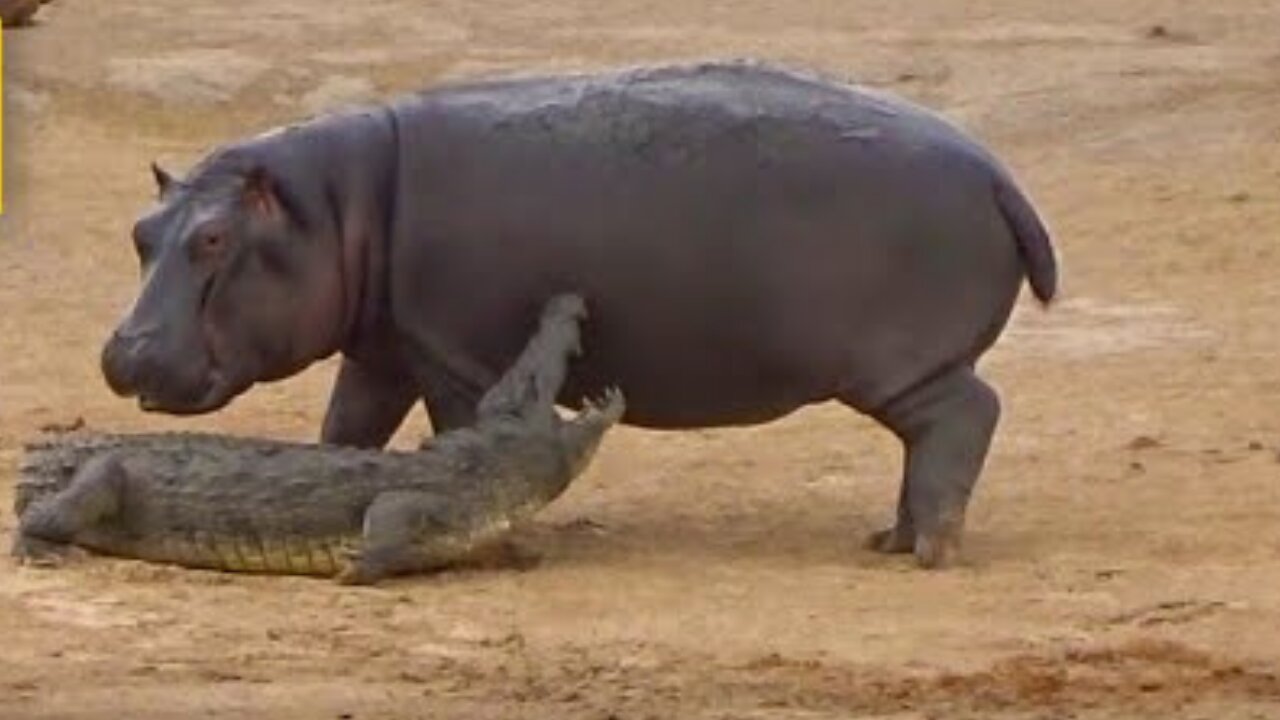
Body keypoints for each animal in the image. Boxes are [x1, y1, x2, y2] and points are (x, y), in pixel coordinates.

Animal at [104, 61, 1054, 566]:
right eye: (142, 231)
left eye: (215, 239)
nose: (121, 354)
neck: (337, 207)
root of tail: (999, 174)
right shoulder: (385, 347)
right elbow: (348, 430)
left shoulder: (452, 355)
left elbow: (456, 437)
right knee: (935, 437)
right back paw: (889, 539)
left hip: (904, 366)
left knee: (965, 416)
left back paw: (928, 551)